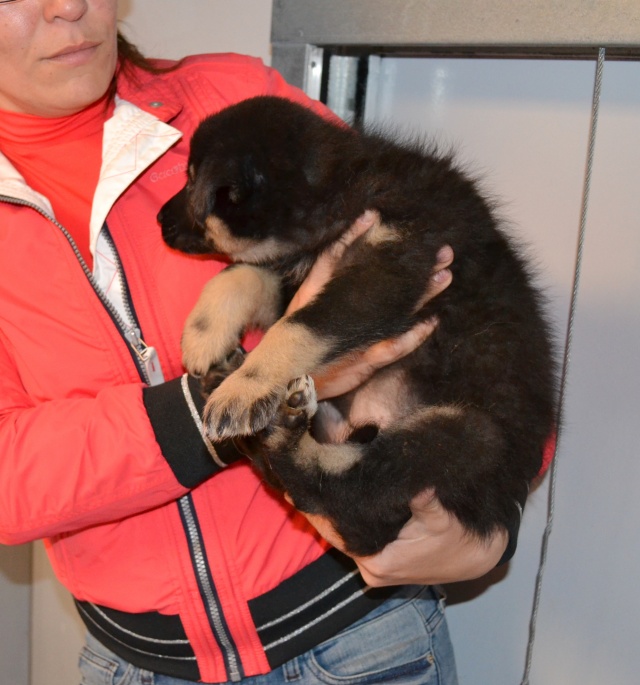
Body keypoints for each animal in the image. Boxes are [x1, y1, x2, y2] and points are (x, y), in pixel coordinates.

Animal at [159, 95, 557, 556]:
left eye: (191, 182)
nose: (159, 220)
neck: (338, 188)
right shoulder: (300, 273)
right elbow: (242, 274)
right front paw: (204, 335)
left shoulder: (393, 262)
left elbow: (300, 326)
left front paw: (245, 387)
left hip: (469, 435)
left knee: (352, 498)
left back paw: (280, 436)